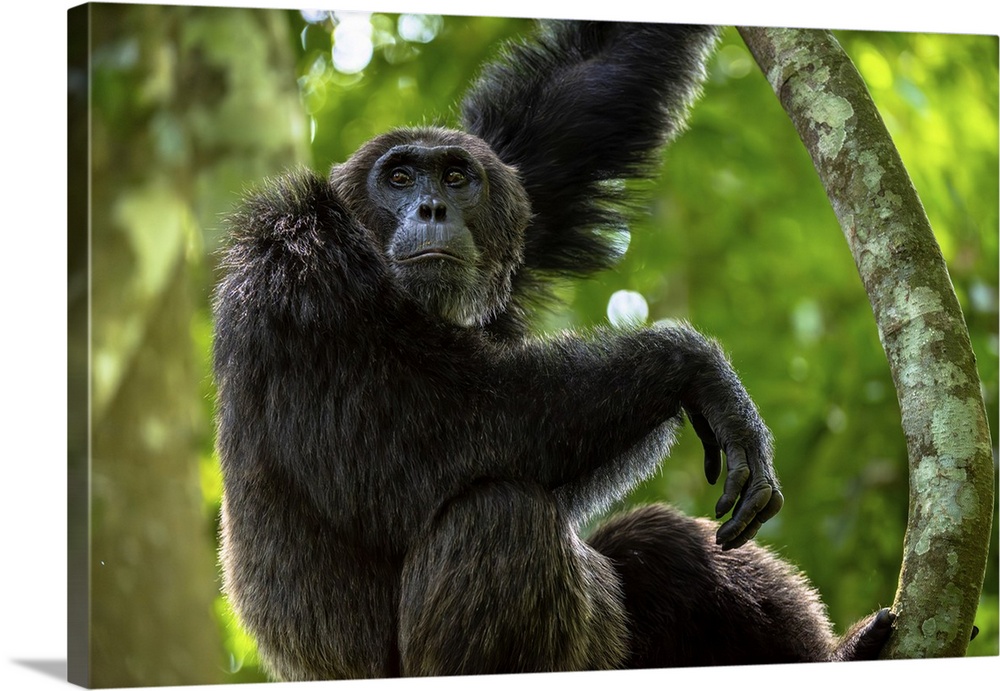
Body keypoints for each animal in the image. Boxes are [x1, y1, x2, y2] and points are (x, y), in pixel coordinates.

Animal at [213, 19, 894, 680]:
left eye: (456, 176)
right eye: (399, 177)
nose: (432, 207)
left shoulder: (517, 176)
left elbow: (590, 80)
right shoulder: (306, 286)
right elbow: (425, 440)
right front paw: (696, 369)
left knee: (661, 540)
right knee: (503, 517)